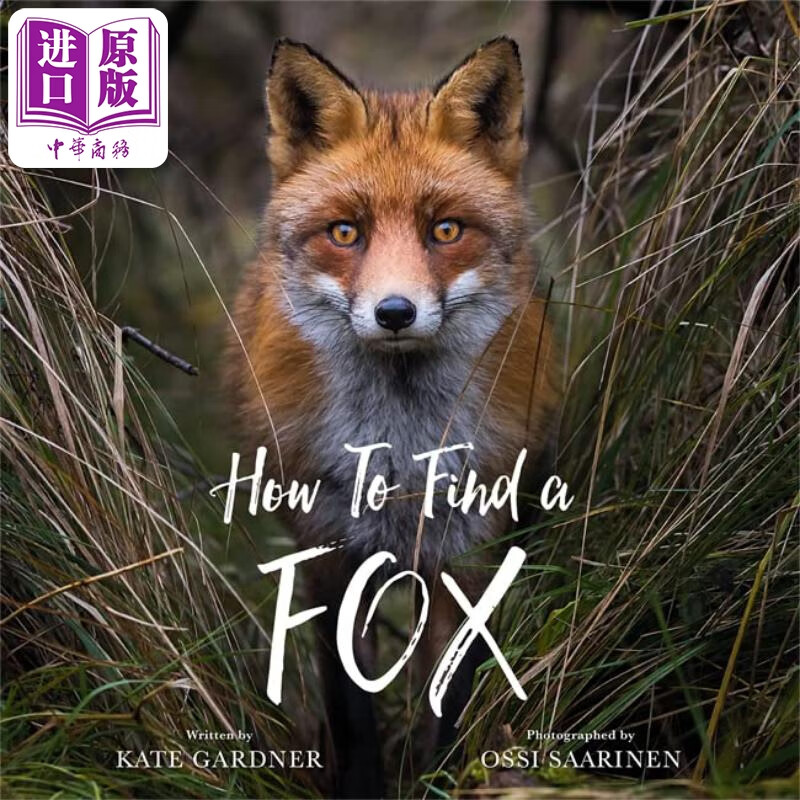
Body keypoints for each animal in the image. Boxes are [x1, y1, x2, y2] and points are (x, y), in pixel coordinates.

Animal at [227, 36, 560, 798]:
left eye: (446, 230)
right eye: (346, 232)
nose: (396, 313)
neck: (402, 454)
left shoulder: (469, 551)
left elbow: (451, 694)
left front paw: (440, 778)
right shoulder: (328, 550)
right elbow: (352, 708)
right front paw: (363, 785)